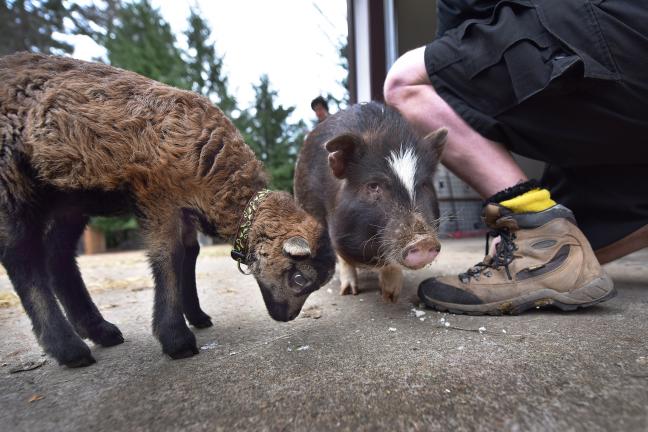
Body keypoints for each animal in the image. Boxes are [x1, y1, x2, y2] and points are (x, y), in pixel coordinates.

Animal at [0, 52, 334, 366]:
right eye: (299, 279)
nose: (287, 317)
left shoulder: (184, 209)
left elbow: (190, 254)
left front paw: (197, 316)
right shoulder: (157, 195)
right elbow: (169, 257)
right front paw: (176, 339)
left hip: (69, 197)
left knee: (58, 255)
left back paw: (100, 331)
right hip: (11, 178)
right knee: (22, 256)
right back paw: (68, 348)